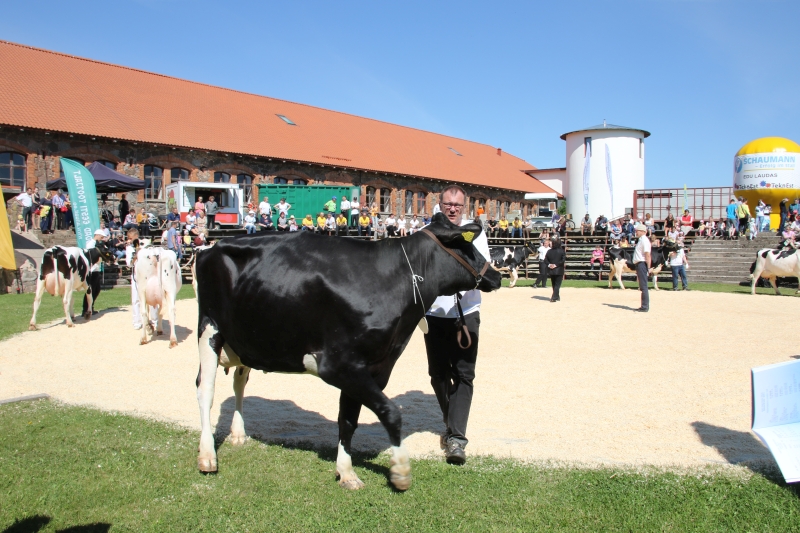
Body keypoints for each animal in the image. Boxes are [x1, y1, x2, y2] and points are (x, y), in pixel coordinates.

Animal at [193, 213, 501, 491]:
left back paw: (238, 434)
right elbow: (390, 412)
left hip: (245, 337)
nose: (496, 274)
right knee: (205, 389)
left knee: (239, 381)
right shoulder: (338, 365)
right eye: (465, 245)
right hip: (209, 328)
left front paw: (346, 472)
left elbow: (348, 420)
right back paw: (207, 456)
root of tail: (212, 246)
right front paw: (400, 470)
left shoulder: (377, 367)